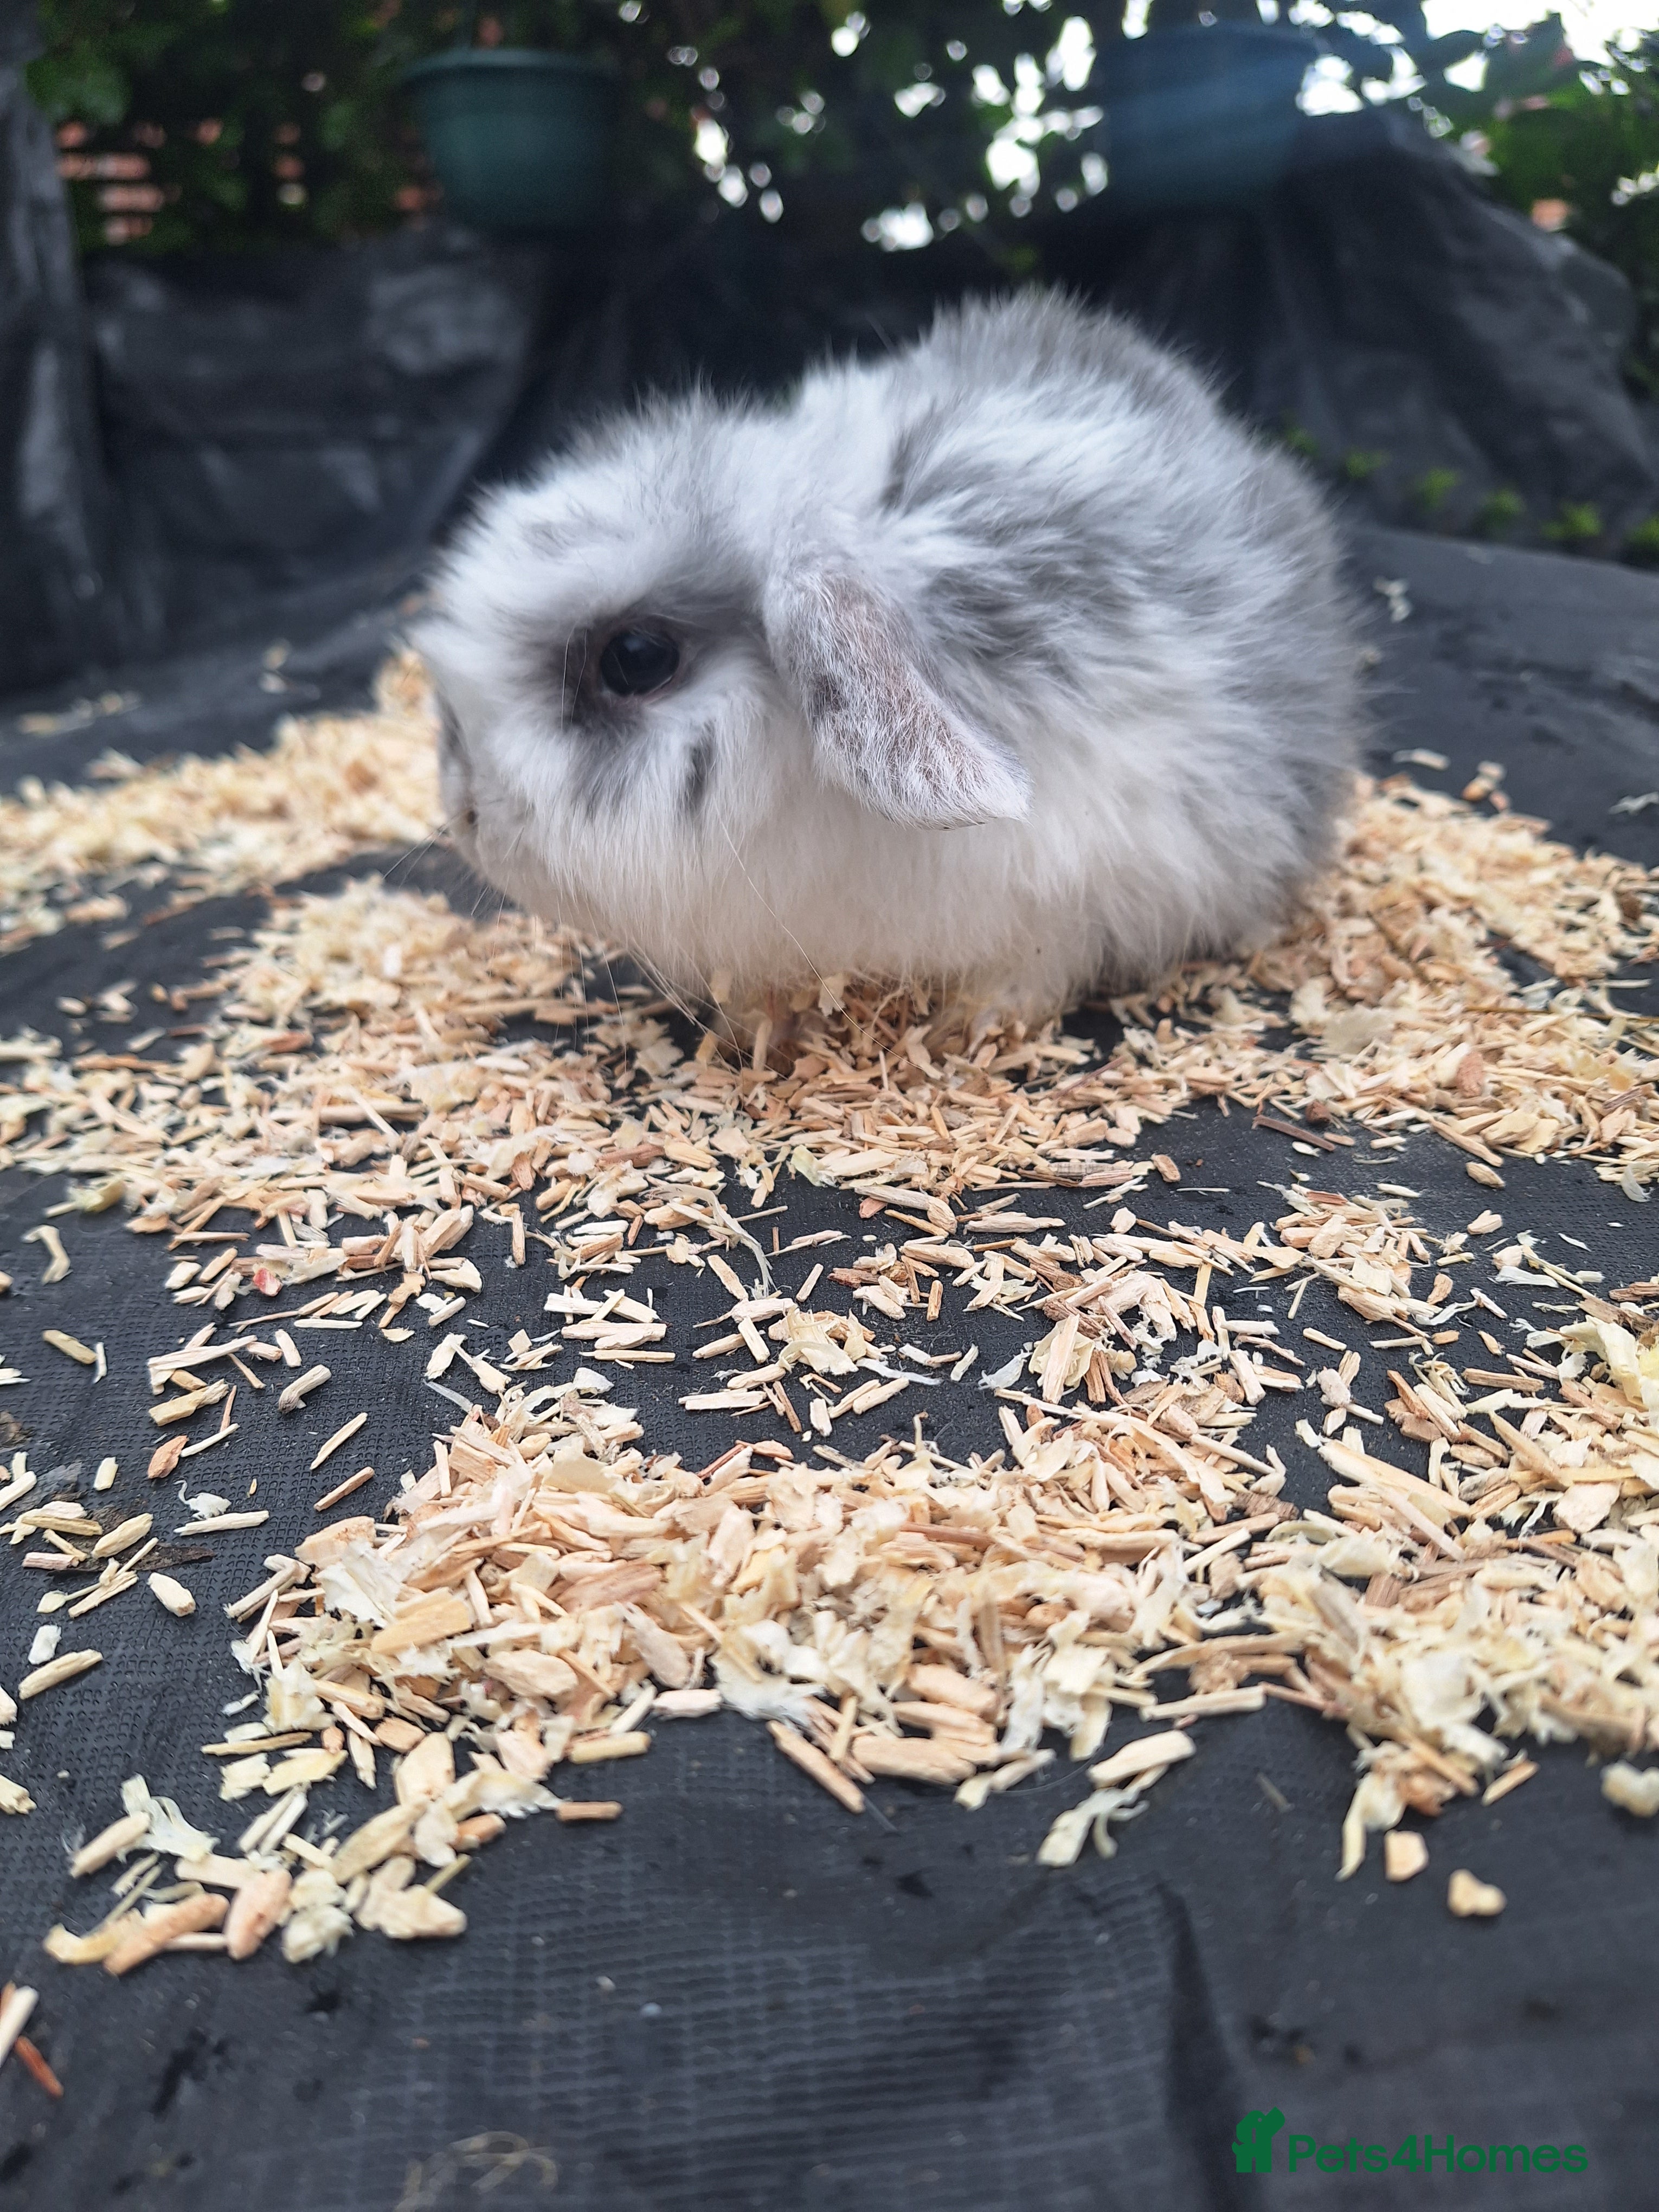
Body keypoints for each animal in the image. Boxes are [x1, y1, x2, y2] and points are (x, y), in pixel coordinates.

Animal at [417, 290, 1359, 1022]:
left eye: (637, 659)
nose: (465, 812)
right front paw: (757, 1029)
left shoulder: (1097, 869)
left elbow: (1038, 965)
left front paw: (973, 1030)